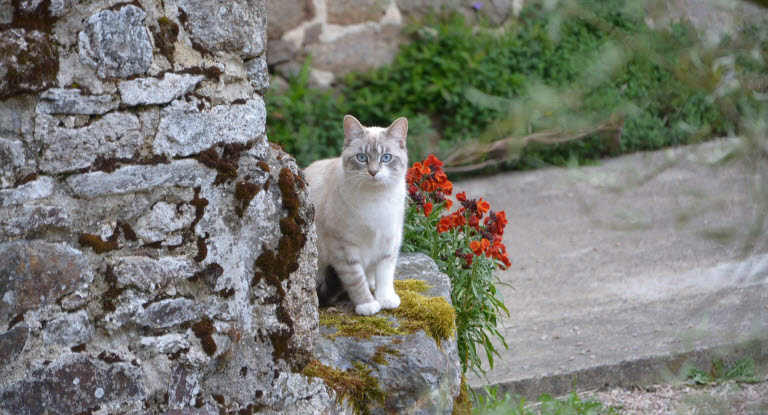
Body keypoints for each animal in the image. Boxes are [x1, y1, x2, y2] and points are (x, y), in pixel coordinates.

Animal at [304, 114, 408, 316]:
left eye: (386, 158)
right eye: (362, 157)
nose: (373, 171)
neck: (375, 199)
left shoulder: (389, 240)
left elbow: (385, 273)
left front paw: (386, 299)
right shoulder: (343, 246)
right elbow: (356, 279)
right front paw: (367, 305)